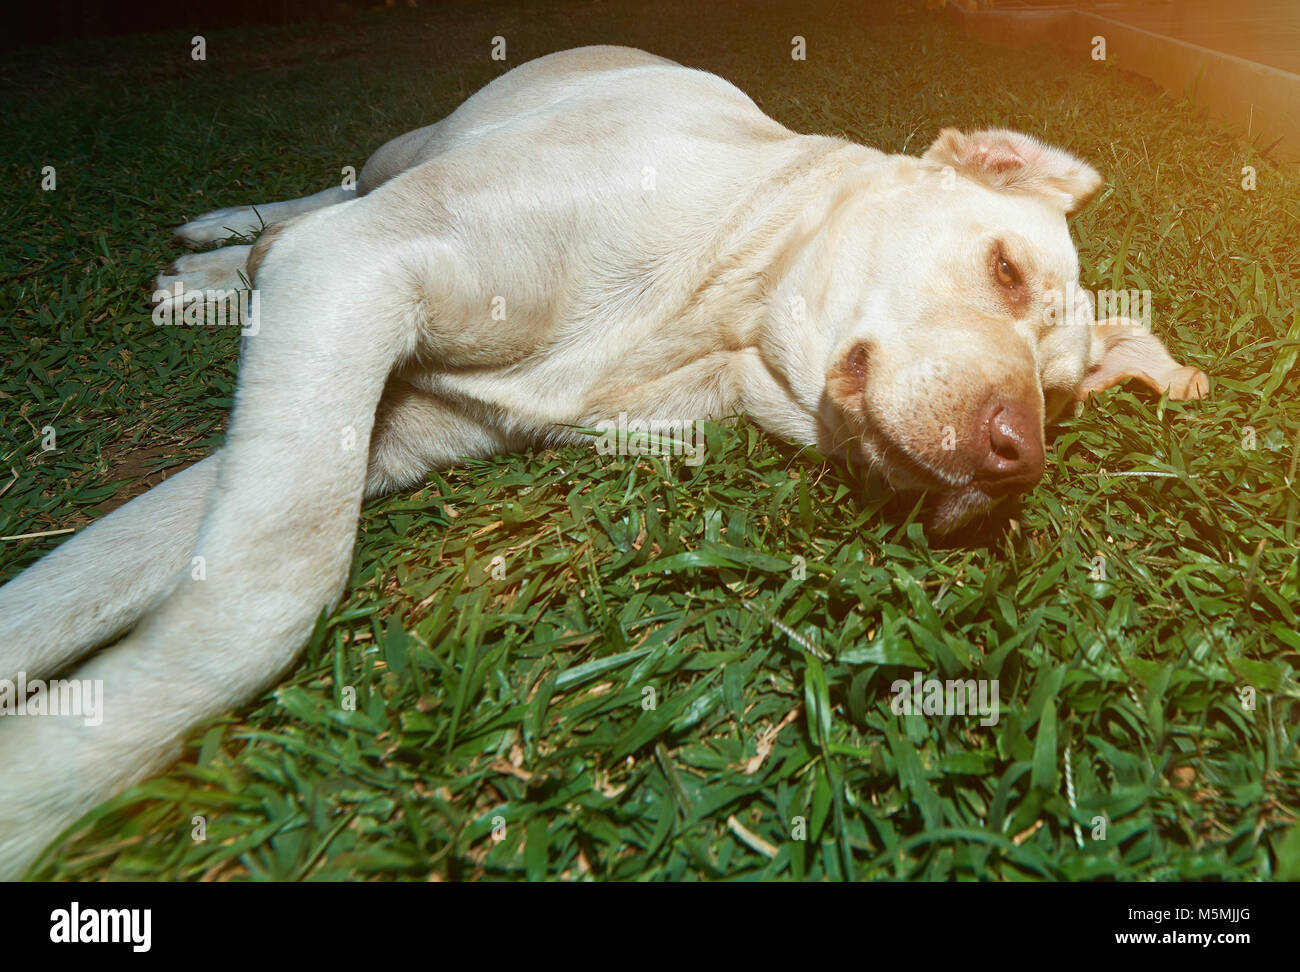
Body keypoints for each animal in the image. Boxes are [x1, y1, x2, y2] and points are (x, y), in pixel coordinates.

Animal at [0, 47, 1206, 878]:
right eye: (1004, 270)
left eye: (1061, 400)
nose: (1016, 465)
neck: (722, 309)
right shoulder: (354, 276)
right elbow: (270, 593)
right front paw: (44, 791)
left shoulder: (362, 416)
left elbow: (75, 594)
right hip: (400, 164)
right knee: (321, 199)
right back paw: (219, 245)